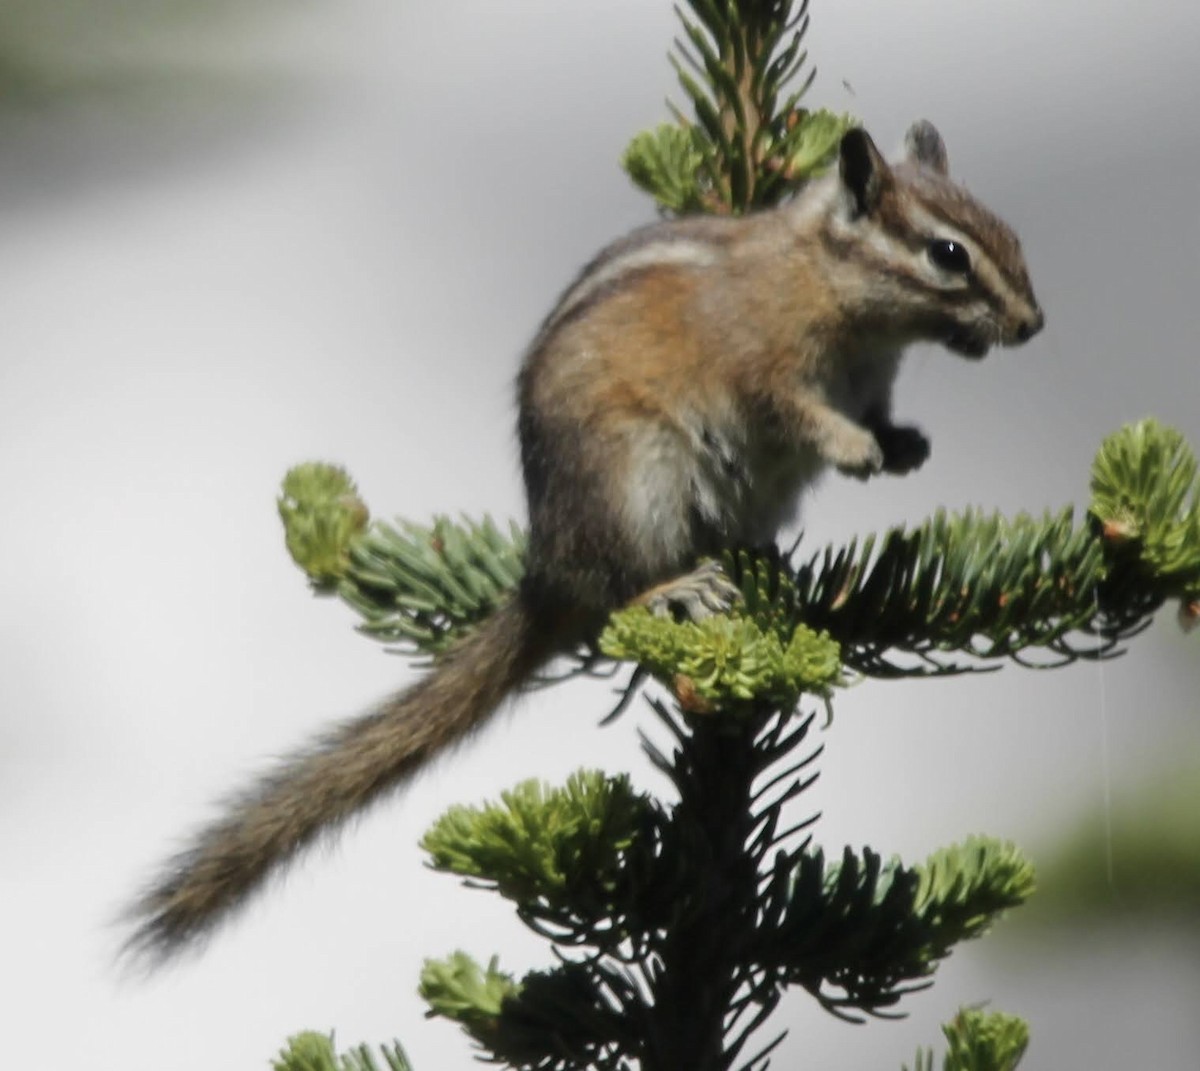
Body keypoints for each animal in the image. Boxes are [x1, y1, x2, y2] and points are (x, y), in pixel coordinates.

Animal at [126, 121, 1043, 962]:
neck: (825, 281)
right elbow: (794, 409)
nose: (1034, 324)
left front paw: (901, 444)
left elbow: (880, 415)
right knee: (611, 605)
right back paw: (676, 587)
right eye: (949, 254)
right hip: (635, 482)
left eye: (1011, 232)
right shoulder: (767, 367)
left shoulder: (872, 382)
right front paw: (855, 447)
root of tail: (547, 568)